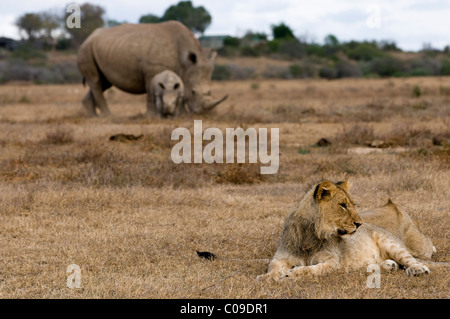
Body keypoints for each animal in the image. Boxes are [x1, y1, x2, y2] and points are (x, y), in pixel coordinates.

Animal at [256, 181, 436, 282]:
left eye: (352, 204)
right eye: (342, 205)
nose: (359, 224)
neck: (310, 234)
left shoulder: (332, 261)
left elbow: (313, 268)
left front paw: (293, 273)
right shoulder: (280, 257)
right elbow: (273, 268)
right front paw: (266, 278)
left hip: (392, 244)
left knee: (411, 259)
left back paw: (417, 270)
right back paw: (389, 265)